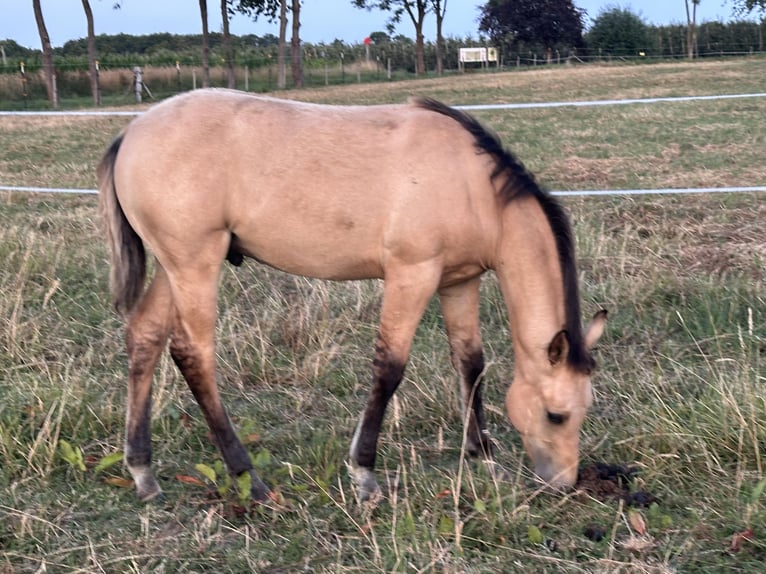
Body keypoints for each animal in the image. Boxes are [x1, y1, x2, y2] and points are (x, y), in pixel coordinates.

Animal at [97, 89, 606, 503]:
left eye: (584, 411)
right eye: (556, 415)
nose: (563, 482)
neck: (472, 184)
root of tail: (132, 132)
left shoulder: (458, 282)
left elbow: (470, 362)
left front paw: (481, 453)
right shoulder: (412, 274)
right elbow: (389, 368)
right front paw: (364, 473)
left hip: (173, 268)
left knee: (145, 337)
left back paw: (142, 472)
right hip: (195, 265)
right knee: (193, 354)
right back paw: (247, 477)